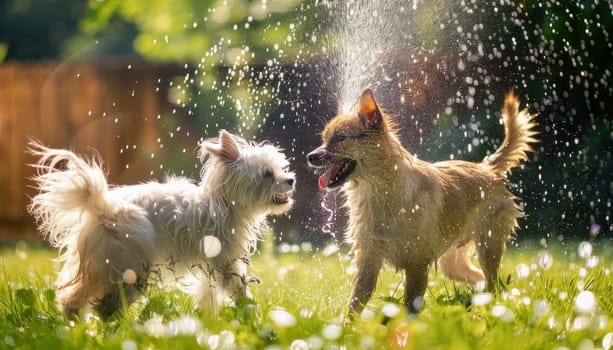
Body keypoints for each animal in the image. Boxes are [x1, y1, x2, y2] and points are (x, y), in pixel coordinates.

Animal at [28, 130, 294, 318]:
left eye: (282, 168)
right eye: (267, 174)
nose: (290, 180)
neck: (225, 204)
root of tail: (103, 207)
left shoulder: (211, 266)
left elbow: (207, 294)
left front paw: (210, 321)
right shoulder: (225, 263)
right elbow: (241, 292)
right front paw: (254, 317)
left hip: (100, 266)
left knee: (73, 299)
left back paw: (74, 325)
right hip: (132, 267)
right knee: (105, 308)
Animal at [306, 89, 536, 316]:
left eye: (339, 138)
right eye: (324, 139)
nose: (310, 156)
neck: (377, 191)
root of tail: (487, 168)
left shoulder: (417, 263)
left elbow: (410, 305)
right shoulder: (369, 259)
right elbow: (355, 302)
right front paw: (347, 327)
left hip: (488, 246)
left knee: (493, 283)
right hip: (452, 263)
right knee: (482, 279)